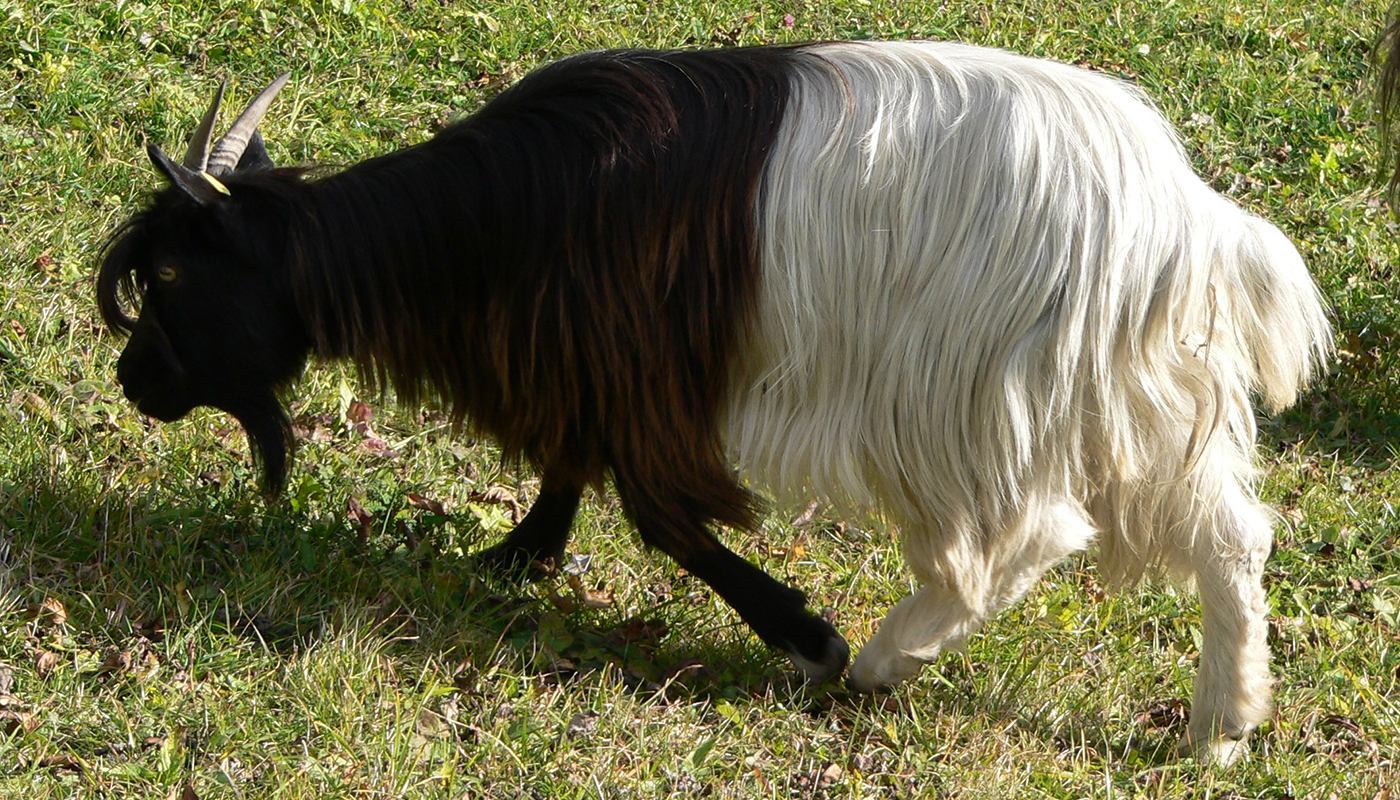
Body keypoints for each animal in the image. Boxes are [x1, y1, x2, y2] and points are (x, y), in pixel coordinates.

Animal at [98, 42, 1331, 765]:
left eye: (172, 277)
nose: (133, 380)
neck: (499, 218)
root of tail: (1180, 219)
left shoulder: (636, 368)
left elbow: (660, 517)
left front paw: (806, 633)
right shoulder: (594, 368)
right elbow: (569, 463)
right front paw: (521, 552)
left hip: (977, 399)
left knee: (1025, 535)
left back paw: (886, 658)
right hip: (1143, 398)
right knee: (1231, 535)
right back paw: (1222, 727)